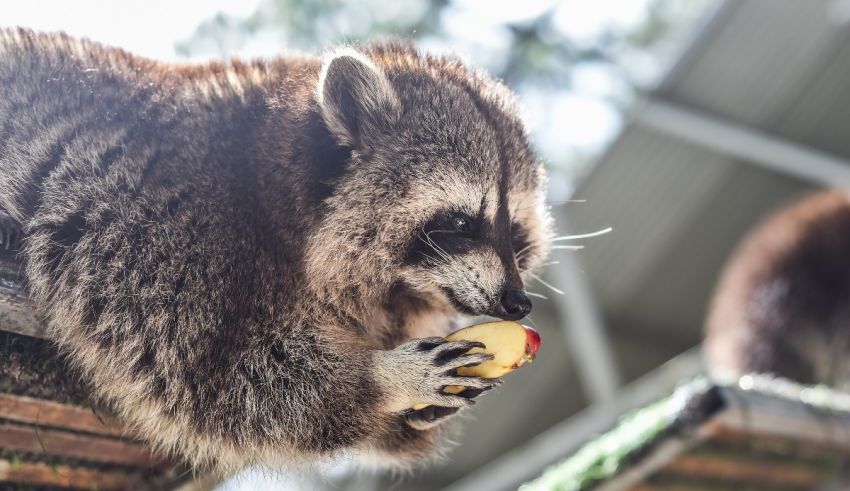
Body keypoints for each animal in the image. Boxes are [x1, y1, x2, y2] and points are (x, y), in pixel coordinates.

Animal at [0, 29, 552, 473]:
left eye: (516, 235)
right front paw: (380, 379)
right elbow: (215, 375)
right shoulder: (170, 222)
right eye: (461, 222)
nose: (517, 302)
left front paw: (411, 419)